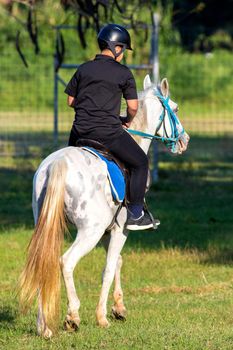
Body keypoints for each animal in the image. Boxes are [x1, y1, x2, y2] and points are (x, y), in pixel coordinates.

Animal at [18, 74, 189, 340]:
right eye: (176, 109)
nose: (184, 141)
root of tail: (58, 164)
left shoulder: (110, 231)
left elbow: (116, 261)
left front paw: (119, 308)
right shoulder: (120, 229)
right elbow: (108, 268)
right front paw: (102, 317)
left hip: (48, 226)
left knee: (42, 265)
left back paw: (43, 326)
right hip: (90, 232)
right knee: (66, 261)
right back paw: (72, 316)